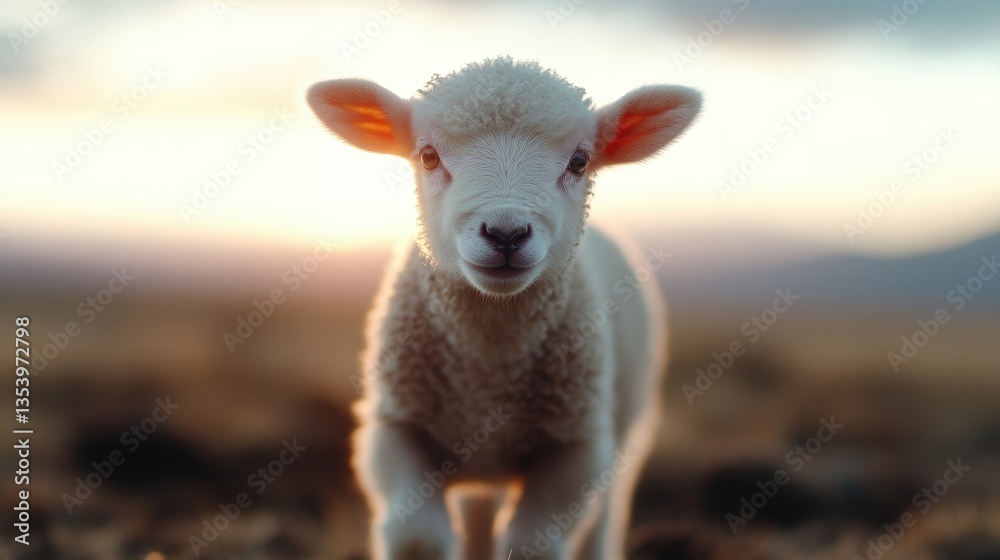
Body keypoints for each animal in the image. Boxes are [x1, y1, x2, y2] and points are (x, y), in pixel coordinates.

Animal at [307, 57, 701, 560]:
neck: (490, 362)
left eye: (579, 161)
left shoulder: (575, 449)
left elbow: (532, 544)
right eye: (428, 155)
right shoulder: (395, 428)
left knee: (603, 517)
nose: (506, 233)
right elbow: (418, 537)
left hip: (625, 420)